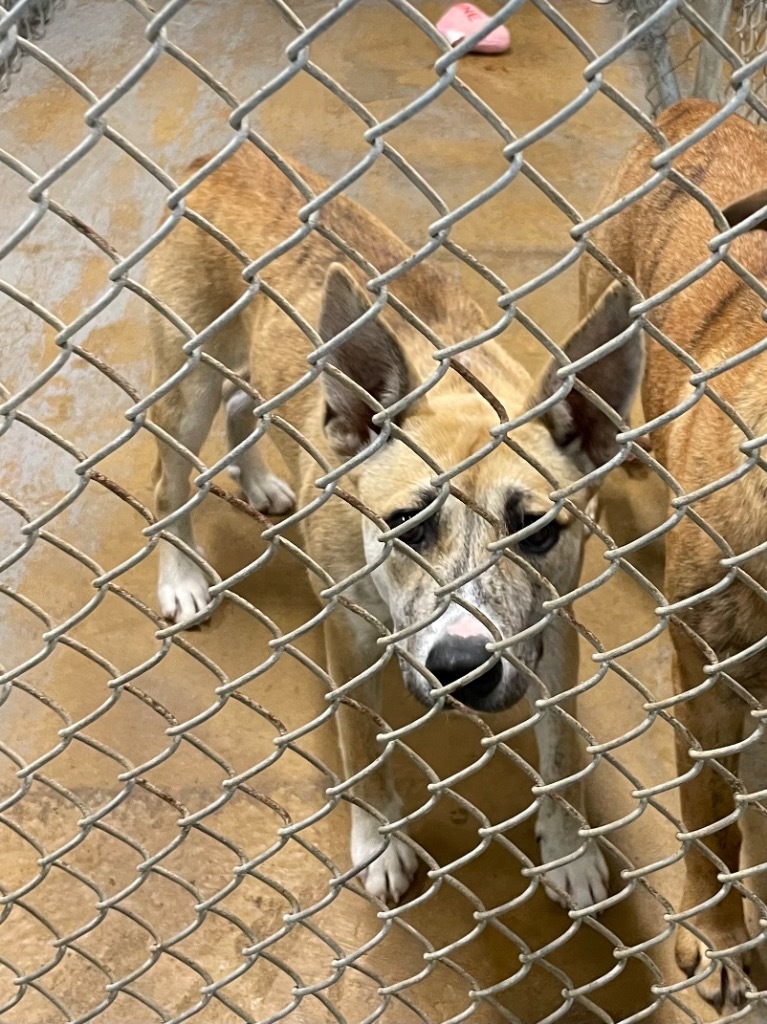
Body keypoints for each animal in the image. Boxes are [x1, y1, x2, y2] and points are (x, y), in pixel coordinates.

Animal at [148, 146, 638, 913]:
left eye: (535, 533)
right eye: (407, 524)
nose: (462, 669)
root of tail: (226, 158)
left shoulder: (552, 625)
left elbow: (562, 741)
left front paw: (568, 846)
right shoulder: (348, 632)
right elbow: (361, 742)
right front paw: (379, 841)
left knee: (243, 405)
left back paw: (260, 482)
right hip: (186, 381)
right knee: (169, 482)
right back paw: (181, 579)